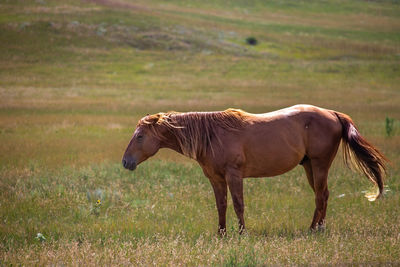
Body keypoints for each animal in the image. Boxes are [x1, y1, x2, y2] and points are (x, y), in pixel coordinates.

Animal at [122, 104, 388, 234]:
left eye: (140, 136)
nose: (126, 162)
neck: (212, 135)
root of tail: (333, 113)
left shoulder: (234, 174)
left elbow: (238, 204)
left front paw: (242, 233)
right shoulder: (215, 178)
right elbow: (221, 205)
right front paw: (221, 234)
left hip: (320, 164)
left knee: (321, 195)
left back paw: (315, 230)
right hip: (310, 167)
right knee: (322, 195)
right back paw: (316, 227)